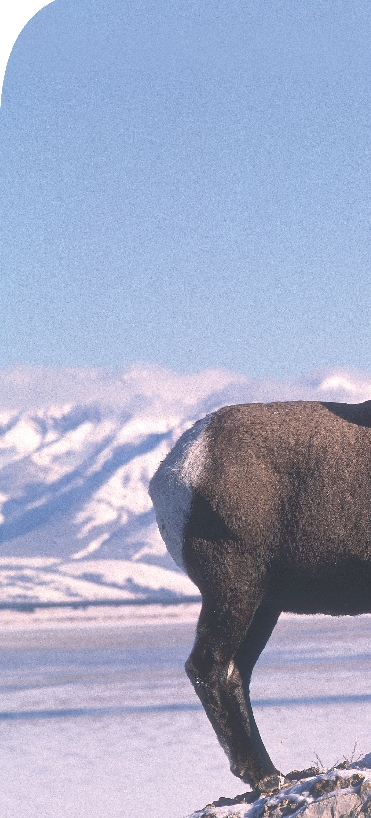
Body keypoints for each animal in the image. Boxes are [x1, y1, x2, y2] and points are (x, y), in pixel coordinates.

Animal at [149, 400, 371, 792]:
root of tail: (174, 470)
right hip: (236, 592)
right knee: (207, 667)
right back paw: (264, 775)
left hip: (263, 607)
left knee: (235, 671)